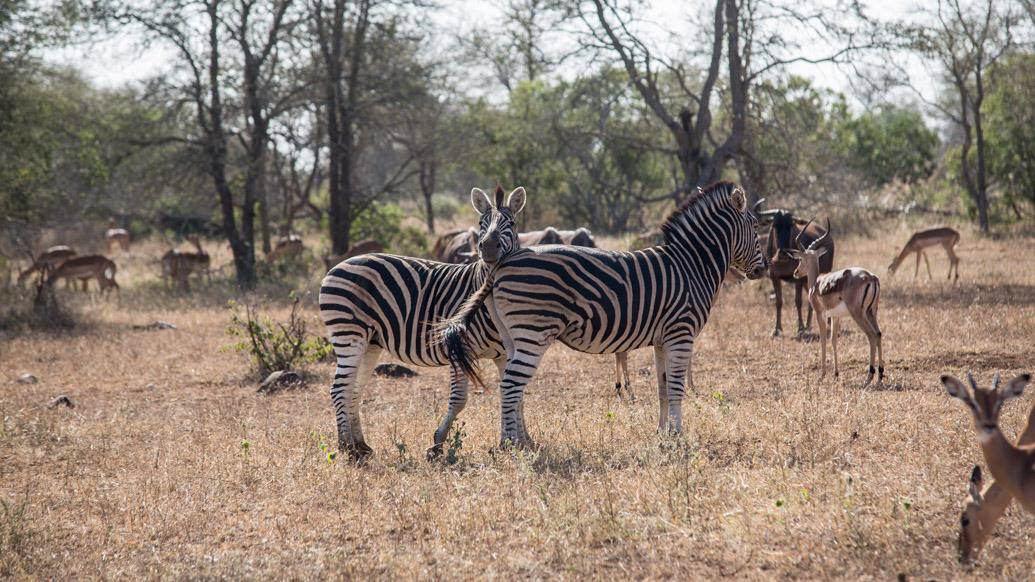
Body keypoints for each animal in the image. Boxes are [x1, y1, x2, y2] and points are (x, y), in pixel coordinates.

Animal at [316, 183, 529, 459]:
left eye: (511, 223)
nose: (489, 248)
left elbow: (515, 394)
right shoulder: (458, 348)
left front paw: (522, 442)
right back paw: (346, 448)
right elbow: (459, 399)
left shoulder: (504, 353)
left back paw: (361, 446)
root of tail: (336, 267)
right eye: (481, 223)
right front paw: (437, 444)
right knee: (339, 388)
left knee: (354, 389)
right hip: (347, 332)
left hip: (369, 342)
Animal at [442, 180, 770, 443]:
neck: (691, 264)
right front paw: (679, 436)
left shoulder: (662, 339)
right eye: (755, 226)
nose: (764, 268)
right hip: (534, 332)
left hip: (512, 336)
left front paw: (662, 435)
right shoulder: (681, 332)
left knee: (509, 385)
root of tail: (501, 264)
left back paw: (518, 442)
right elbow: (677, 388)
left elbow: (663, 388)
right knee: (511, 384)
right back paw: (511, 446)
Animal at [790, 221, 881, 385]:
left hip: (858, 314)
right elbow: (833, 340)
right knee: (878, 334)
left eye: (800, 259)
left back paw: (869, 377)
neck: (816, 283)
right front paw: (836, 373)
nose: (796, 272)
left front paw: (822, 374)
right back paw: (880, 376)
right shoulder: (836, 316)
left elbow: (823, 340)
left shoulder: (820, 314)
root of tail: (871, 277)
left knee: (871, 335)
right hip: (872, 312)